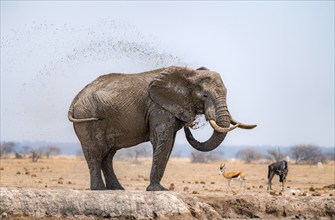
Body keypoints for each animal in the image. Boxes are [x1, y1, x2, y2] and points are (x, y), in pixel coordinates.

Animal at [69, 65, 258, 191]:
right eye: (205, 95)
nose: (191, 124)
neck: (189, 74)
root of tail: (76, 98)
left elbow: (170, 144)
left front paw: (158, 188)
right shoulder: (159, 108)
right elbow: (163, 140)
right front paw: (158, 190)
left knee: (108, 155)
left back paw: (117, 189)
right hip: (86, 118)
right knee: (95, 152)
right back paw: (99, 190)